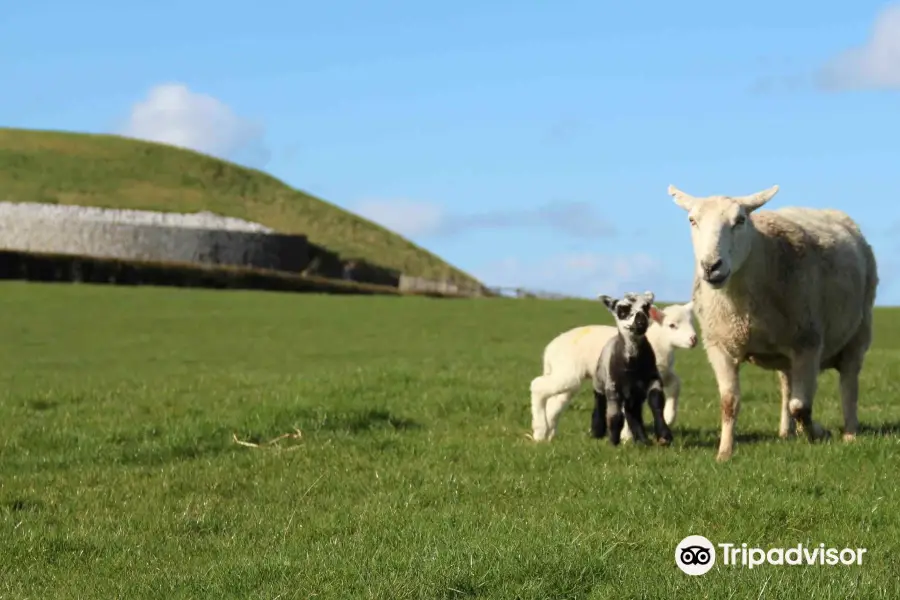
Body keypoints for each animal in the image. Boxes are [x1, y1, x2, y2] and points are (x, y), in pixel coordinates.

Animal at [532, 300, 700, 440]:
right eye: (672, 325)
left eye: (691, 322)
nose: (693, 339)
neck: (658, 344)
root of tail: (549, 350)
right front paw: (627, 437)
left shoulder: (660, 373)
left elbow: (676, 384)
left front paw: (669, 416)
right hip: (567, 372)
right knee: (537, 386)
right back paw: (539, 431)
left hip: (565, 374)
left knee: (555, 402)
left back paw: (548, 435)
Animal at [588, 290, 672, 446]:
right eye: (622, 309)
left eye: (646, 306)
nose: (641, 322)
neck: (632, 366)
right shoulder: (613, 387)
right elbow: (615, 415)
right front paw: (613, 443)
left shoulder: (653, 379)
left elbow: (656, 402)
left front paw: (664, 435)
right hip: (599, 382)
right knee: (600, 404)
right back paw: (597, 431)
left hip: (634, 394)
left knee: (632, 412)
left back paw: (643, 440)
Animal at [668, 180, 880, 462]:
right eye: (692, 220)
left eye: (740, 220)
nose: (711, 266)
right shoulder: (719, 345)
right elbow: (729, 402)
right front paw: (724, 452)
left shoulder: (808, 343)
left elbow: (801, 406)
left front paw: (818, 433)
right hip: (786, 353)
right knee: (787, 385)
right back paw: (785, 431)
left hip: (858, 331)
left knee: (849, 383)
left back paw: (849, 432)